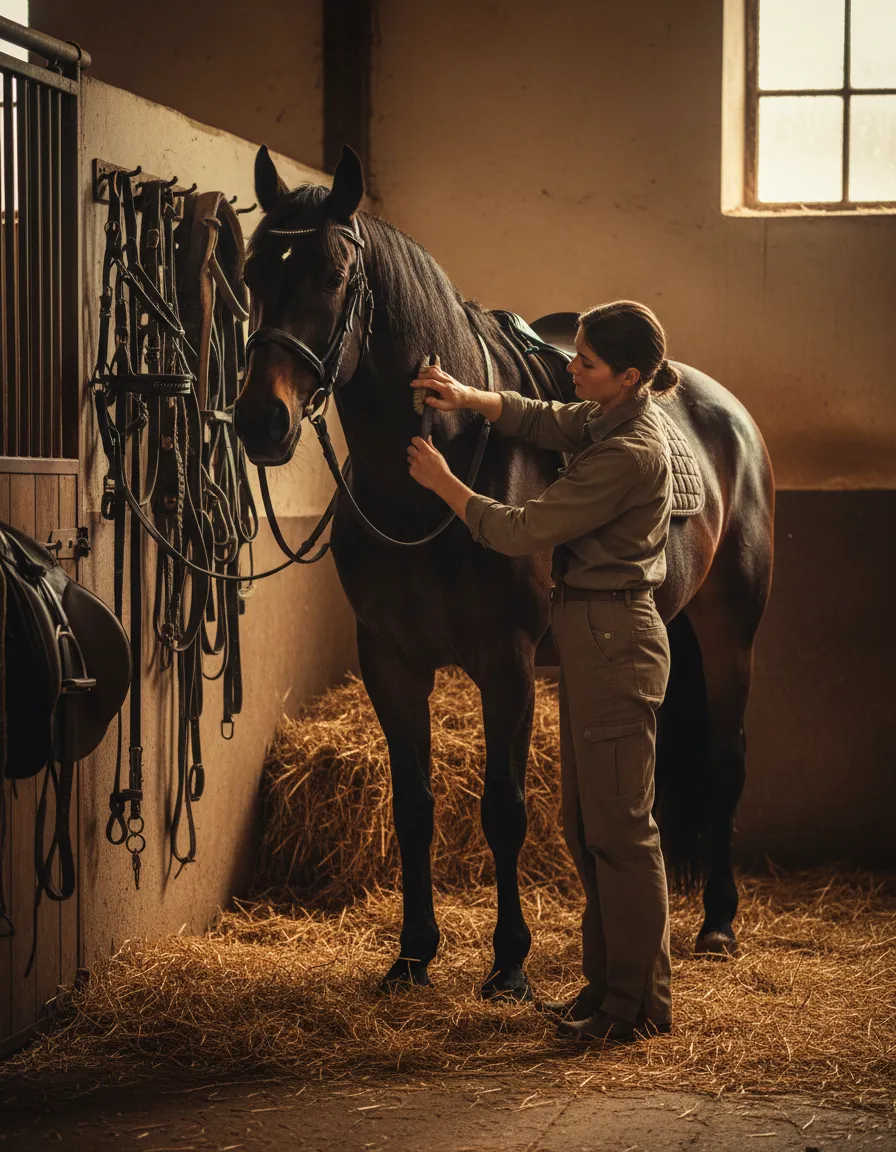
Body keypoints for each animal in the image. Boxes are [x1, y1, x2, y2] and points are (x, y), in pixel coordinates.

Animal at [234, 144, 774, 999]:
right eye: (252, 271)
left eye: (332, 275)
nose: (261, 420)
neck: (433, 473)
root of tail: (728, 412)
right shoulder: (389, 661)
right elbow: (414, 806)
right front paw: (413, 954)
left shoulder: (506, 662)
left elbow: (504, 809)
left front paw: (509, 963)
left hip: (730, 631)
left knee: (725, 761)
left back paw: (718, 923)